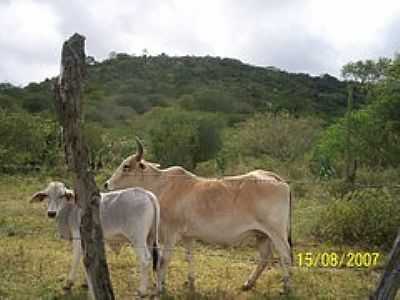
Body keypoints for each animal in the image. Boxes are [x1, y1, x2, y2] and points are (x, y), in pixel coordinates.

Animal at [30, 182, 161, 296]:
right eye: (47, 195)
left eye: (62, 195)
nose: (51, 213)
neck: (70, 209)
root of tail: (147, 194)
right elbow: (87, 259)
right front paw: (86, 282)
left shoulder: (78, 237)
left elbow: (77, 259)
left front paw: (69, 283)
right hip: (150, 238)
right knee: (156, 259)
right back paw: (156, 286)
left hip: (137, 239)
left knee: (145, 260)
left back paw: (142, 290)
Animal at [104, 140, 292, 292]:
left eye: (126, 166)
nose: (106, 184)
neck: (160, 185)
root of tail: (274, 178)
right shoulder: (188, 236)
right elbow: (189, 256)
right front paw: (191, 281)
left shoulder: (170, 234)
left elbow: (164, 259)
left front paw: (161, 285)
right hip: (262, 235)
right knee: (265, 257)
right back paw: (248, 283)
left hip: (276, 232)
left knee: (285, 255)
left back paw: (287, 287)